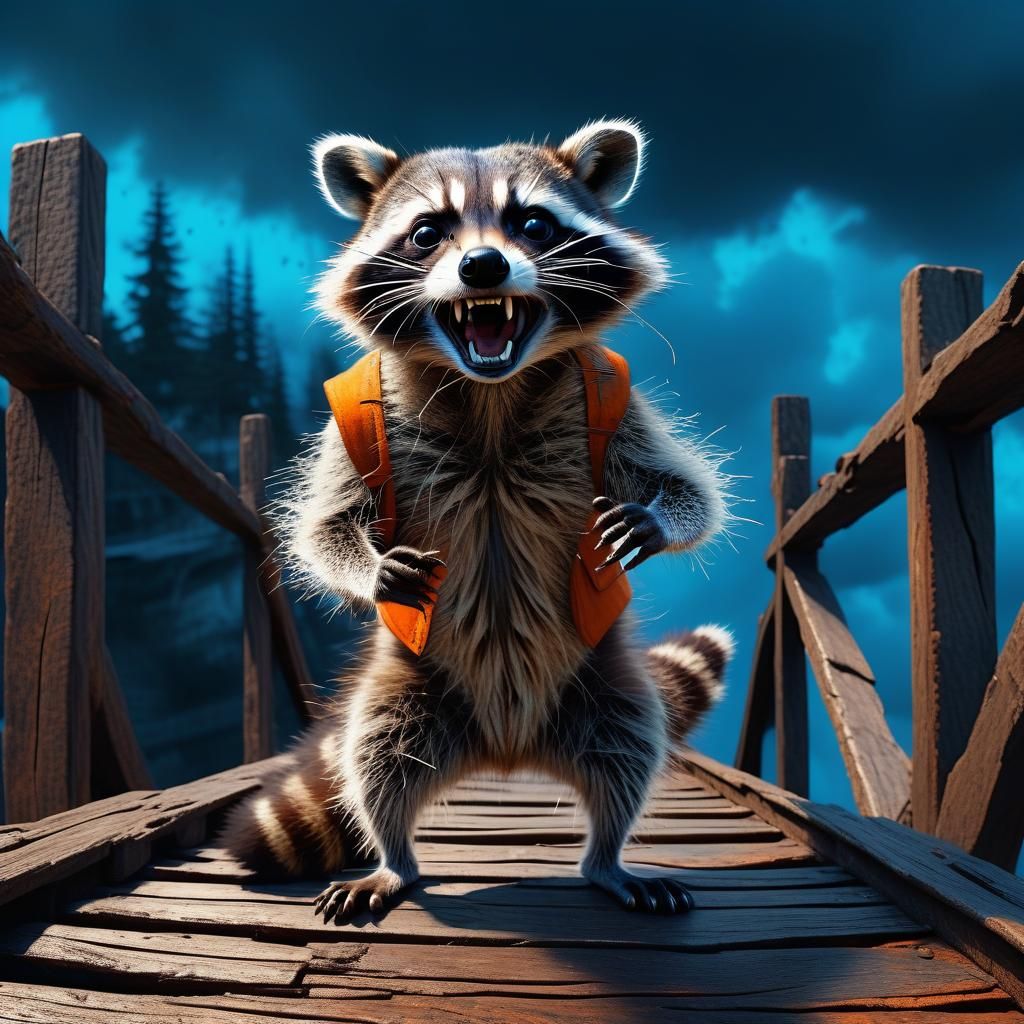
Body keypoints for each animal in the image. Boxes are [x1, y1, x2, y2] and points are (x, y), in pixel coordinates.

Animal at [221, 120, 734, 918]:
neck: (491, 389)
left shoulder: (612, 406)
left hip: (601, 681)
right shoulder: (364, 423)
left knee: (628, 745)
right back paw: (395, 858)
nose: (484, 267)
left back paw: (606, 858)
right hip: (407, 688)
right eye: (428, 232)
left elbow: (687, 490)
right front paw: (368, 567)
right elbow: (322, 525)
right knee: (377, 757)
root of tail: (506, 746)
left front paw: (656, 521)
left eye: (534, 224)